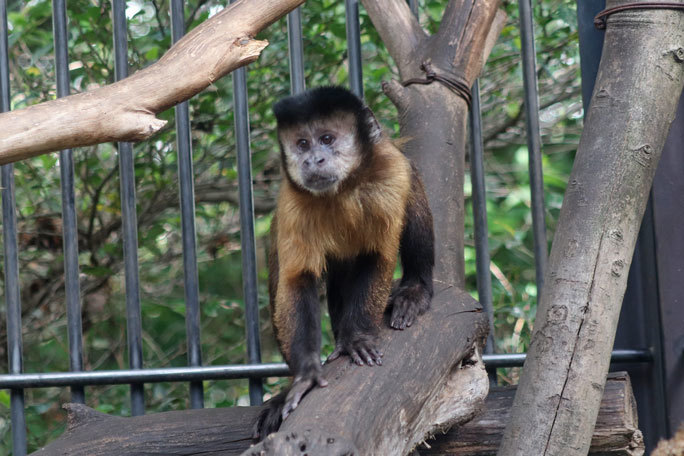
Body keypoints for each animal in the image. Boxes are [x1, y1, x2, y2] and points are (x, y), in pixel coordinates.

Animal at [254, 87, 436, 440]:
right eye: (302, 144)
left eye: (327, 138)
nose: (313, 160)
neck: (344, 188)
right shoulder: (293, 203)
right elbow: (297, 278)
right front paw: (305, 376)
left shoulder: (389, 174)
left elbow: (378, 256)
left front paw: (357, 339)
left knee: (413, 191)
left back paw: (415, 290)